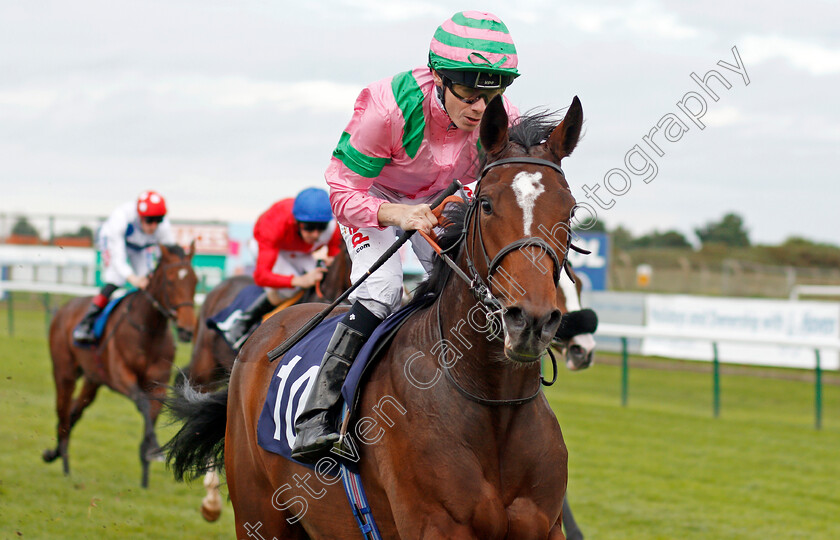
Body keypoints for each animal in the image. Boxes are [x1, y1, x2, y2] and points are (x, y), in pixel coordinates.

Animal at [46, 243, 197, 488]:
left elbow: (152, 414)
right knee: (63, 411)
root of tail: (65, 307)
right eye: (170, 281)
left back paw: (55, 454)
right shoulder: (120, 376)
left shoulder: (159, 383)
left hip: (93, 380)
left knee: (74, 411)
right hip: (64, 372)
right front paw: (154, 450)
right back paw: (64, 463)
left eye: (194, 280)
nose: (187, 329)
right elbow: (143, 405)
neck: (148, 330)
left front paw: (146, 469)